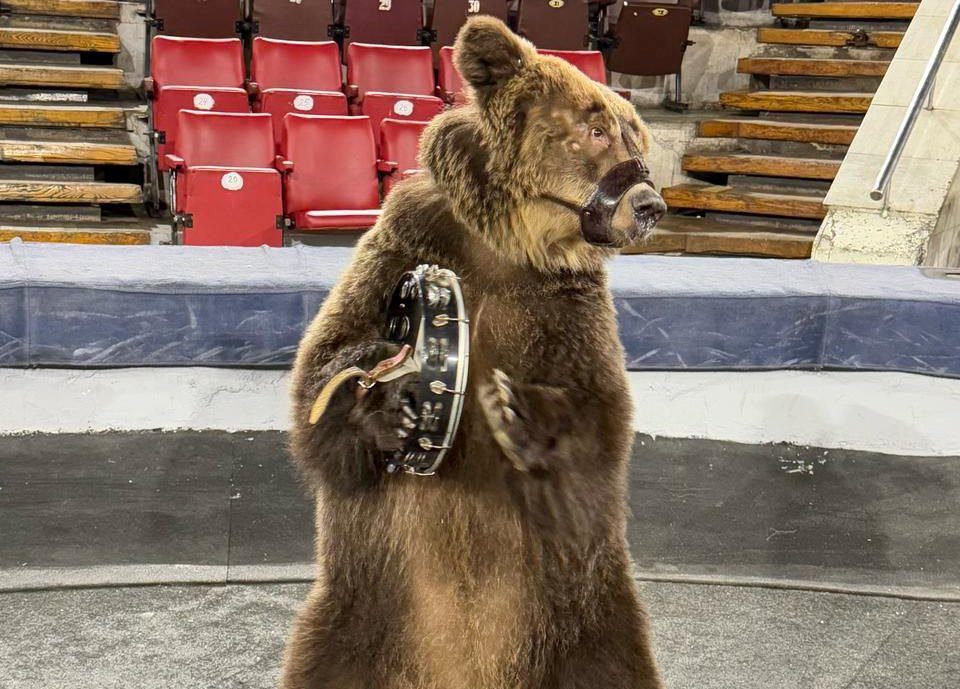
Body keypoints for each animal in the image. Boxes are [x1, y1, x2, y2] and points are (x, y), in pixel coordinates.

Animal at [280, 16, 668, 688]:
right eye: (595, 128)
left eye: (634, 132)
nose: (649, 205)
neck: (506, 245)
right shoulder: (402, 245)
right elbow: (321, 373)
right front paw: (385, 404)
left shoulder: (567, 307)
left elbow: (600, 415)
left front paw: (519, 412)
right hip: (360, 613)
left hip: (584, 618)